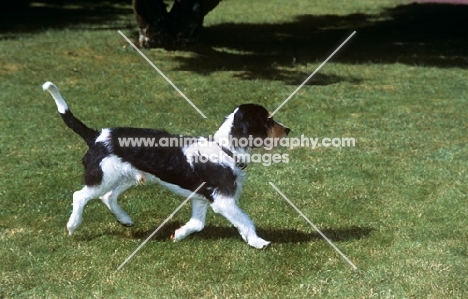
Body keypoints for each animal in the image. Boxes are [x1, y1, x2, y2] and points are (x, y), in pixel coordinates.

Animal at [43, 81, 288, 248]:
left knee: (107, 197)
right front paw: (259, 242)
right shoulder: (223, 200)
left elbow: (197, 224)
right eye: (267, 120)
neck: (224, 149)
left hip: (127, 177)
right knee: (80, 196)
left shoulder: (200, 198)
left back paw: (125, 220)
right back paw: (73, 225)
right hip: (103, 176)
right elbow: (245, 220)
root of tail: (96, 136)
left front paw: (177, 235)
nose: (287, 130)